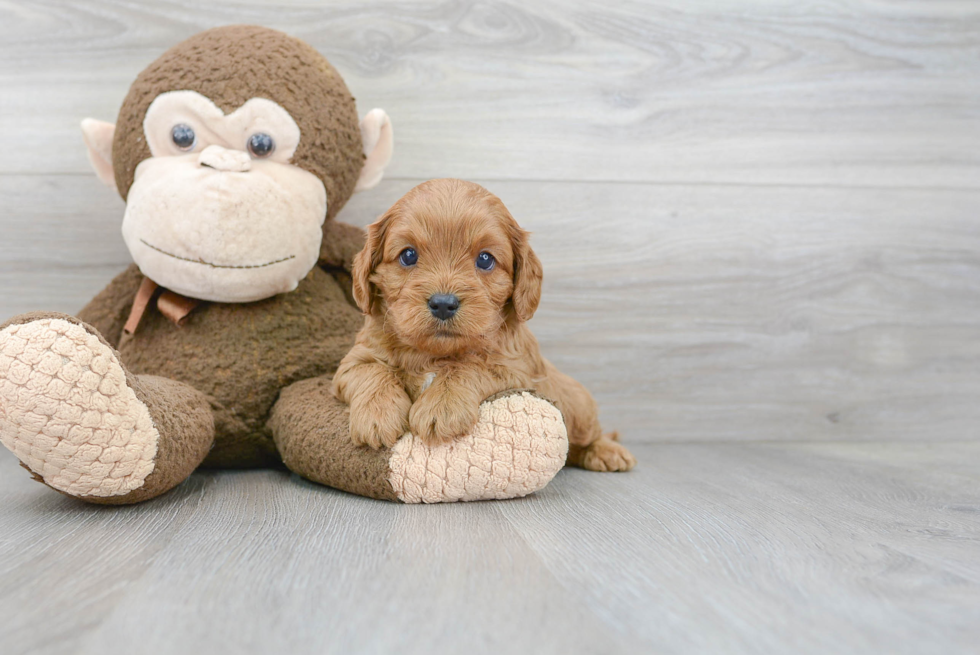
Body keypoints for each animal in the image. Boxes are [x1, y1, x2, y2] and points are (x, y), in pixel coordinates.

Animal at [334, 178, 640, 472]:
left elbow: (470, 366)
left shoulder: (515, 369)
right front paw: (377, 416)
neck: (434, 354)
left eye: (485, 259)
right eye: (408, 255)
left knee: (588, 435)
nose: (443, 303)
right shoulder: (353, 361)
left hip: (578, 404)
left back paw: (607, 452)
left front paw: (441, 406)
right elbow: (371, 371)